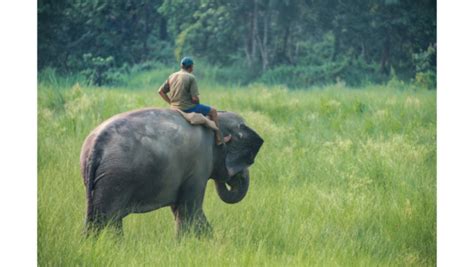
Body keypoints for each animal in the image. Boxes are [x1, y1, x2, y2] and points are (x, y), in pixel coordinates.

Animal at [78, 108, 262, 238]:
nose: (232, 177)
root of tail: (95, 145)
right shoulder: (199, 165)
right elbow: (190, 208)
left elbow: (180, 208)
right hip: (117, 177)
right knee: (109, 217)